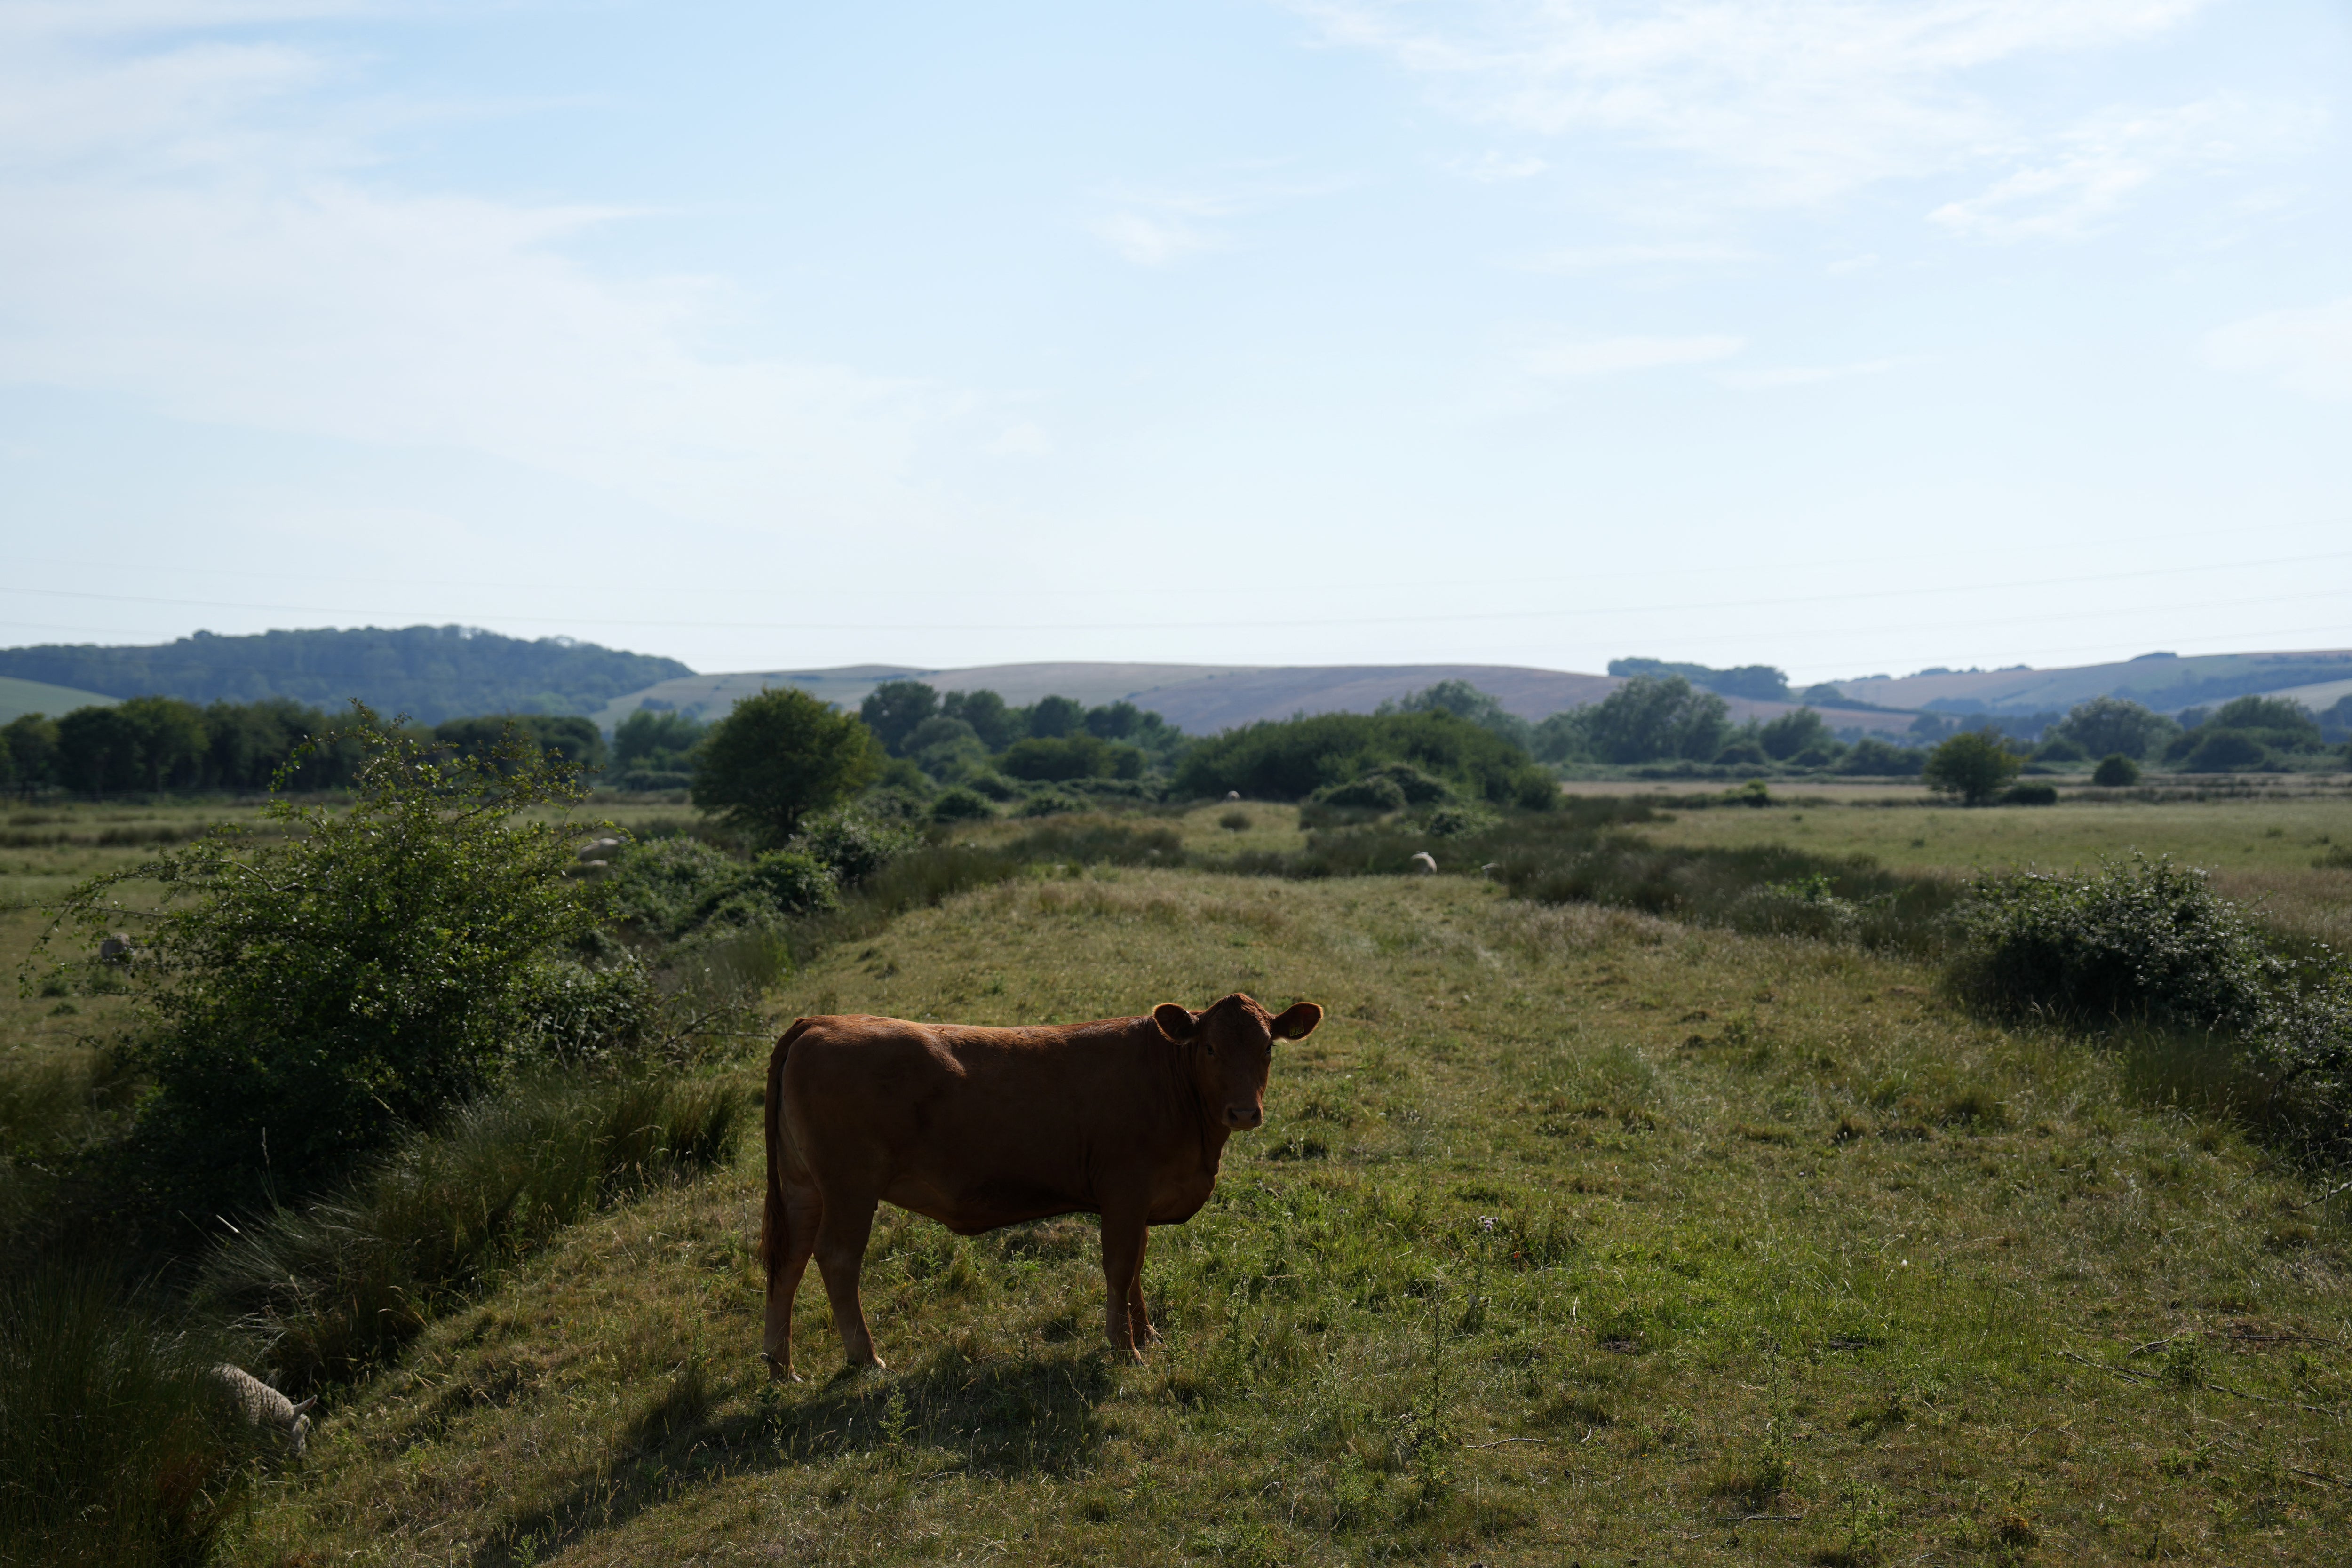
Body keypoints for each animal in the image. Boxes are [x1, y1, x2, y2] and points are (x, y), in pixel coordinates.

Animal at [760, 992, 1323, 1378]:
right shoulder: (1125, 1191)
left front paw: (1148, 1334)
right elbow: (1121, 1267)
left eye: (1267, 1048)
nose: (1244, 1112)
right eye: (1209, 1047)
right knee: (836, 1259)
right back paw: (865, 1357)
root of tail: (819, 1022)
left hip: (803, 1186)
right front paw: (1125, 1348)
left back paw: (781, 1365)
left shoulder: (1139, 1201)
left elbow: (1138, 1265)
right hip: (850, 1187)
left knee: (787, 1261)